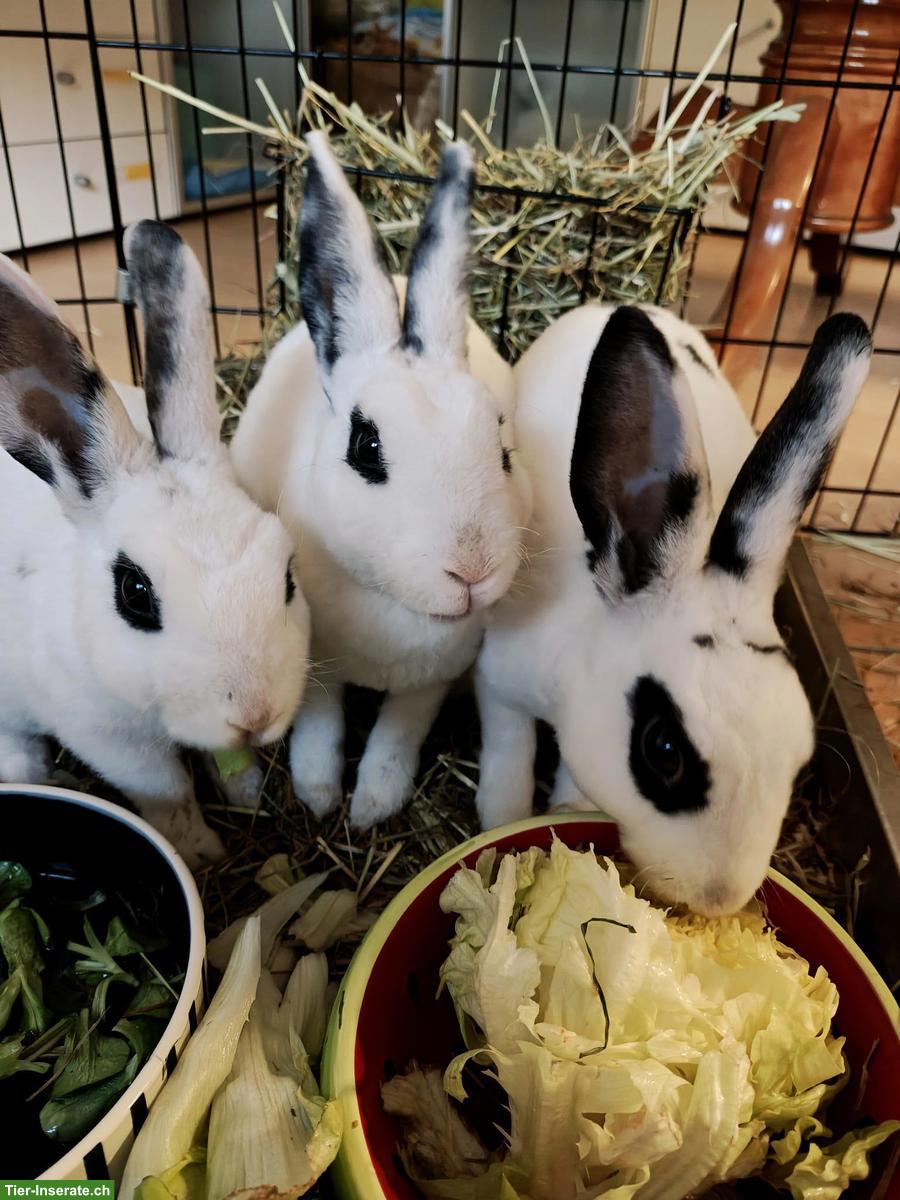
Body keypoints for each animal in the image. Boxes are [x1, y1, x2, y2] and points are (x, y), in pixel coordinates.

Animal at [0, 220, 310, 868]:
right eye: (134, 593)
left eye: (288, 576)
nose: (255, 713)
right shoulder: (109, 739)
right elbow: (168, 793)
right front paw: (201, 851)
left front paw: (247, 792)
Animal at [231, 131, 532, 830]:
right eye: (366, 448)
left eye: (502, 444)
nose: (472, 572)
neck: (395, 609)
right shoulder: (315, 666)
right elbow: (319, 726)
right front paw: (318, 796)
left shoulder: (431, 684)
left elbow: (398, 736)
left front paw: (371, 806)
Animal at [474, 302, 871, 916]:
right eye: (663, 751)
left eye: (798, 758)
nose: (718, 898)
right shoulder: (500, 681)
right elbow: (509, 752)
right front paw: (504, 817)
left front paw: (564, 809)